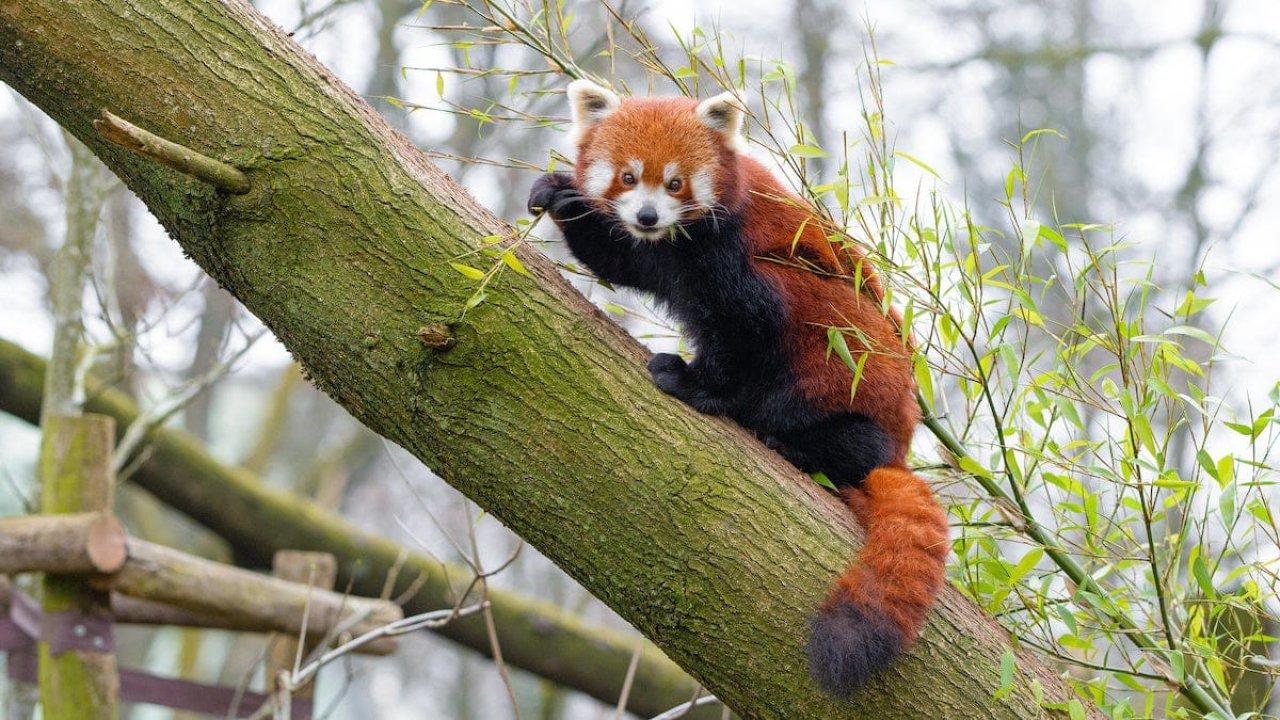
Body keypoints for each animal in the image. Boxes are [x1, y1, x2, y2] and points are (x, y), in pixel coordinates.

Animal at [529, 79, 952, 696]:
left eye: (676, 182)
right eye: (628, 178)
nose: (649, 215)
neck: (678, 240)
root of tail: (900, 441)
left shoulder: (732, 252)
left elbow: (745, 329)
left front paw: (696, 383)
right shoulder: (656, 254)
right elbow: (621, 259)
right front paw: (560, 195)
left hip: (841, 360)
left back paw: (791, 440)